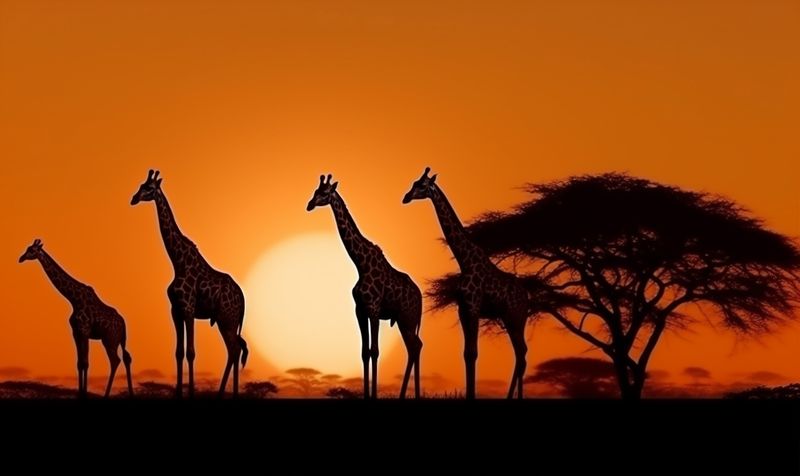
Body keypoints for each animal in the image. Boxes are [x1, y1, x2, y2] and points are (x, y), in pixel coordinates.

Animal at [19, 239, 134, 398]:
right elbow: (79, 363)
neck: (73, 299)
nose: (21, 258)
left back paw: (106, 395)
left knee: (115, 361)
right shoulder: (76, 332)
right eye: (27, 248)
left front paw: (84, 393)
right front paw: (80, 393)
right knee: (127, 358)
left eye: (32, 250)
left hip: (110, 339)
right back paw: (131, 393)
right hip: (119, 340)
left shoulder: (84, 331)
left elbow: (85, 362)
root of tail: (123, 324)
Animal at [131, 170, 248, 398]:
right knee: (235, 350)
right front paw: (178, 392)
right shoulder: (175, 310)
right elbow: (178, 352)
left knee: (235, 349)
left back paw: (229, 393)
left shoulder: (188, 308)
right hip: (224, 320)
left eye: (149, 188)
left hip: (227, 319)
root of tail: (242, 298)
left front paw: (191, 392)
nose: (133, 199)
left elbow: (191, 352)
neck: (178, 262)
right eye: (140, 185)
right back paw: (226, 393)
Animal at [307, 174, 423, 399]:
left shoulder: (374, 309)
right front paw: (367, 395)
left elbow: (375, 350)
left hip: (408, 318)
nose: (309, 205)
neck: (361, 264)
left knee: (416, 346)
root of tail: (421, 298)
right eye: (315, 191)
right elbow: (364, 352)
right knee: (414, 347)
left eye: (324, 193)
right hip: (403, 321)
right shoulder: (359, 310)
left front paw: (374, 395)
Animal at [403, 167, 530, 399]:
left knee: (522, 352)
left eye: (422, 186)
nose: (406, 197)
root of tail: (527, 297)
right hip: (510, 318)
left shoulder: (473, 306)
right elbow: (466, 353)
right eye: (414, 183)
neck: (465, 261)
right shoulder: (462, 309)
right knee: (520, 353)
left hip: (516, 317)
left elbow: (473, 352)